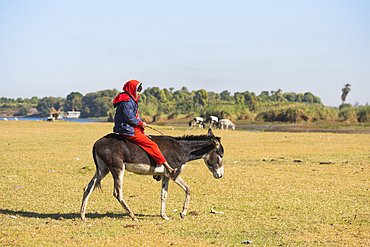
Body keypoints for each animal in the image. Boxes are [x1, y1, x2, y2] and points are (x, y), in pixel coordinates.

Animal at [80, 128, 224, 221]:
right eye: (221, 155)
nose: (220, 175)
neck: (182, 149)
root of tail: (97, 143)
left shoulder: (165, 176)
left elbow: (163, 196)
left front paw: (164, 215)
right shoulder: (174, 174)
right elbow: (188, 189)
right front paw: (183, 213)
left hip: (103, 169)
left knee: (88, 188)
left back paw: (82, 216)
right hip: (117, 168)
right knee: (117, 193)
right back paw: (133, 216)